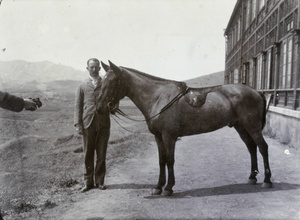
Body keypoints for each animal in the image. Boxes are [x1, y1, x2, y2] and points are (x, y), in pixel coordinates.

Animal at [98, 60, 272, 196]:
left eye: (112, 82)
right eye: (102, 81)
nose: (100, 106)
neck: (158, 97)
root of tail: (256, 91)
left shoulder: (169, 136)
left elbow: (170, 160)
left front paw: (168, 188)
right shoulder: (158, 137)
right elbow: (161, 160)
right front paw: (158, 187)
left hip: (252, 127)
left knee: (262, 147)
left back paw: (267, 180)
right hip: (241, 127)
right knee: (251, 148)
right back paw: (252, 177)